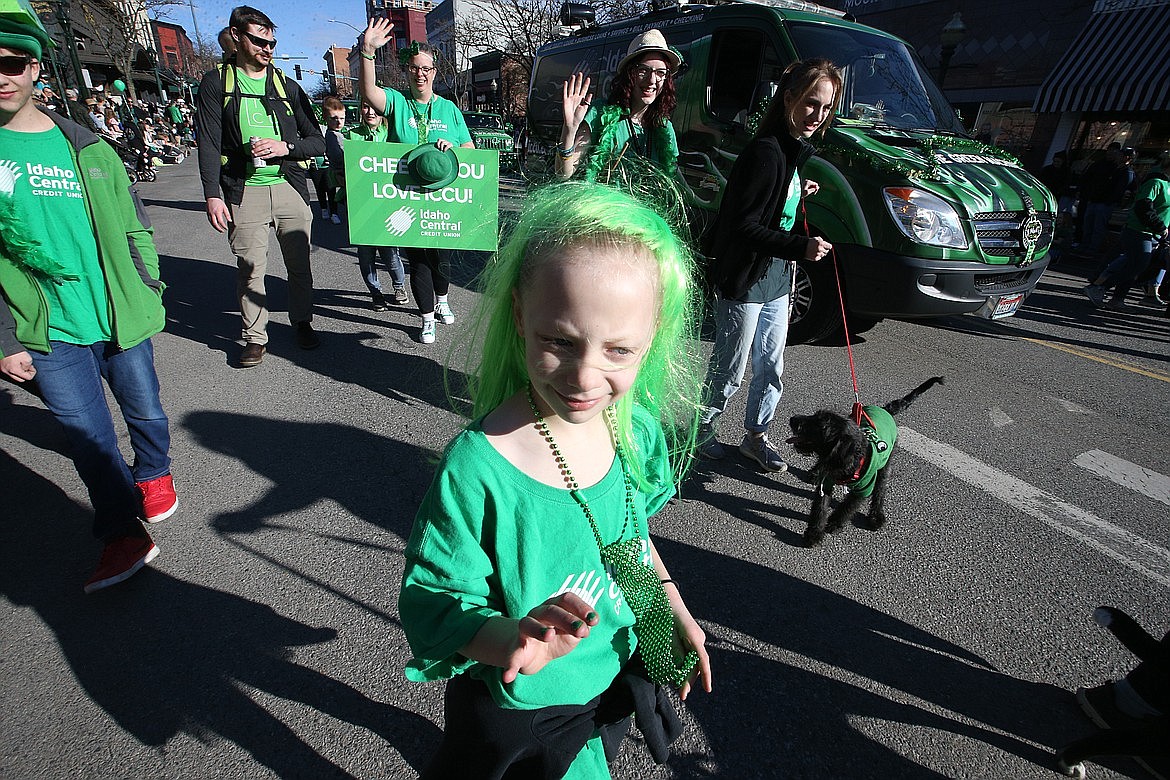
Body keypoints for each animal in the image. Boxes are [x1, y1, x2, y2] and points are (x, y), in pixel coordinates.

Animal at [786, 378, 940, 549]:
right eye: (814, 416)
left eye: (821, 426)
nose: (793, 419)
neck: (847, 462)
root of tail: (885, 410)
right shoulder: (826, 483)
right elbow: (820, 509)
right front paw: (814, 534)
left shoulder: (863, 489)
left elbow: (847, 507)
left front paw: (834, 523)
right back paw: (815, 472)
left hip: (885, 466)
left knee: (880, 489)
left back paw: (876, 516)